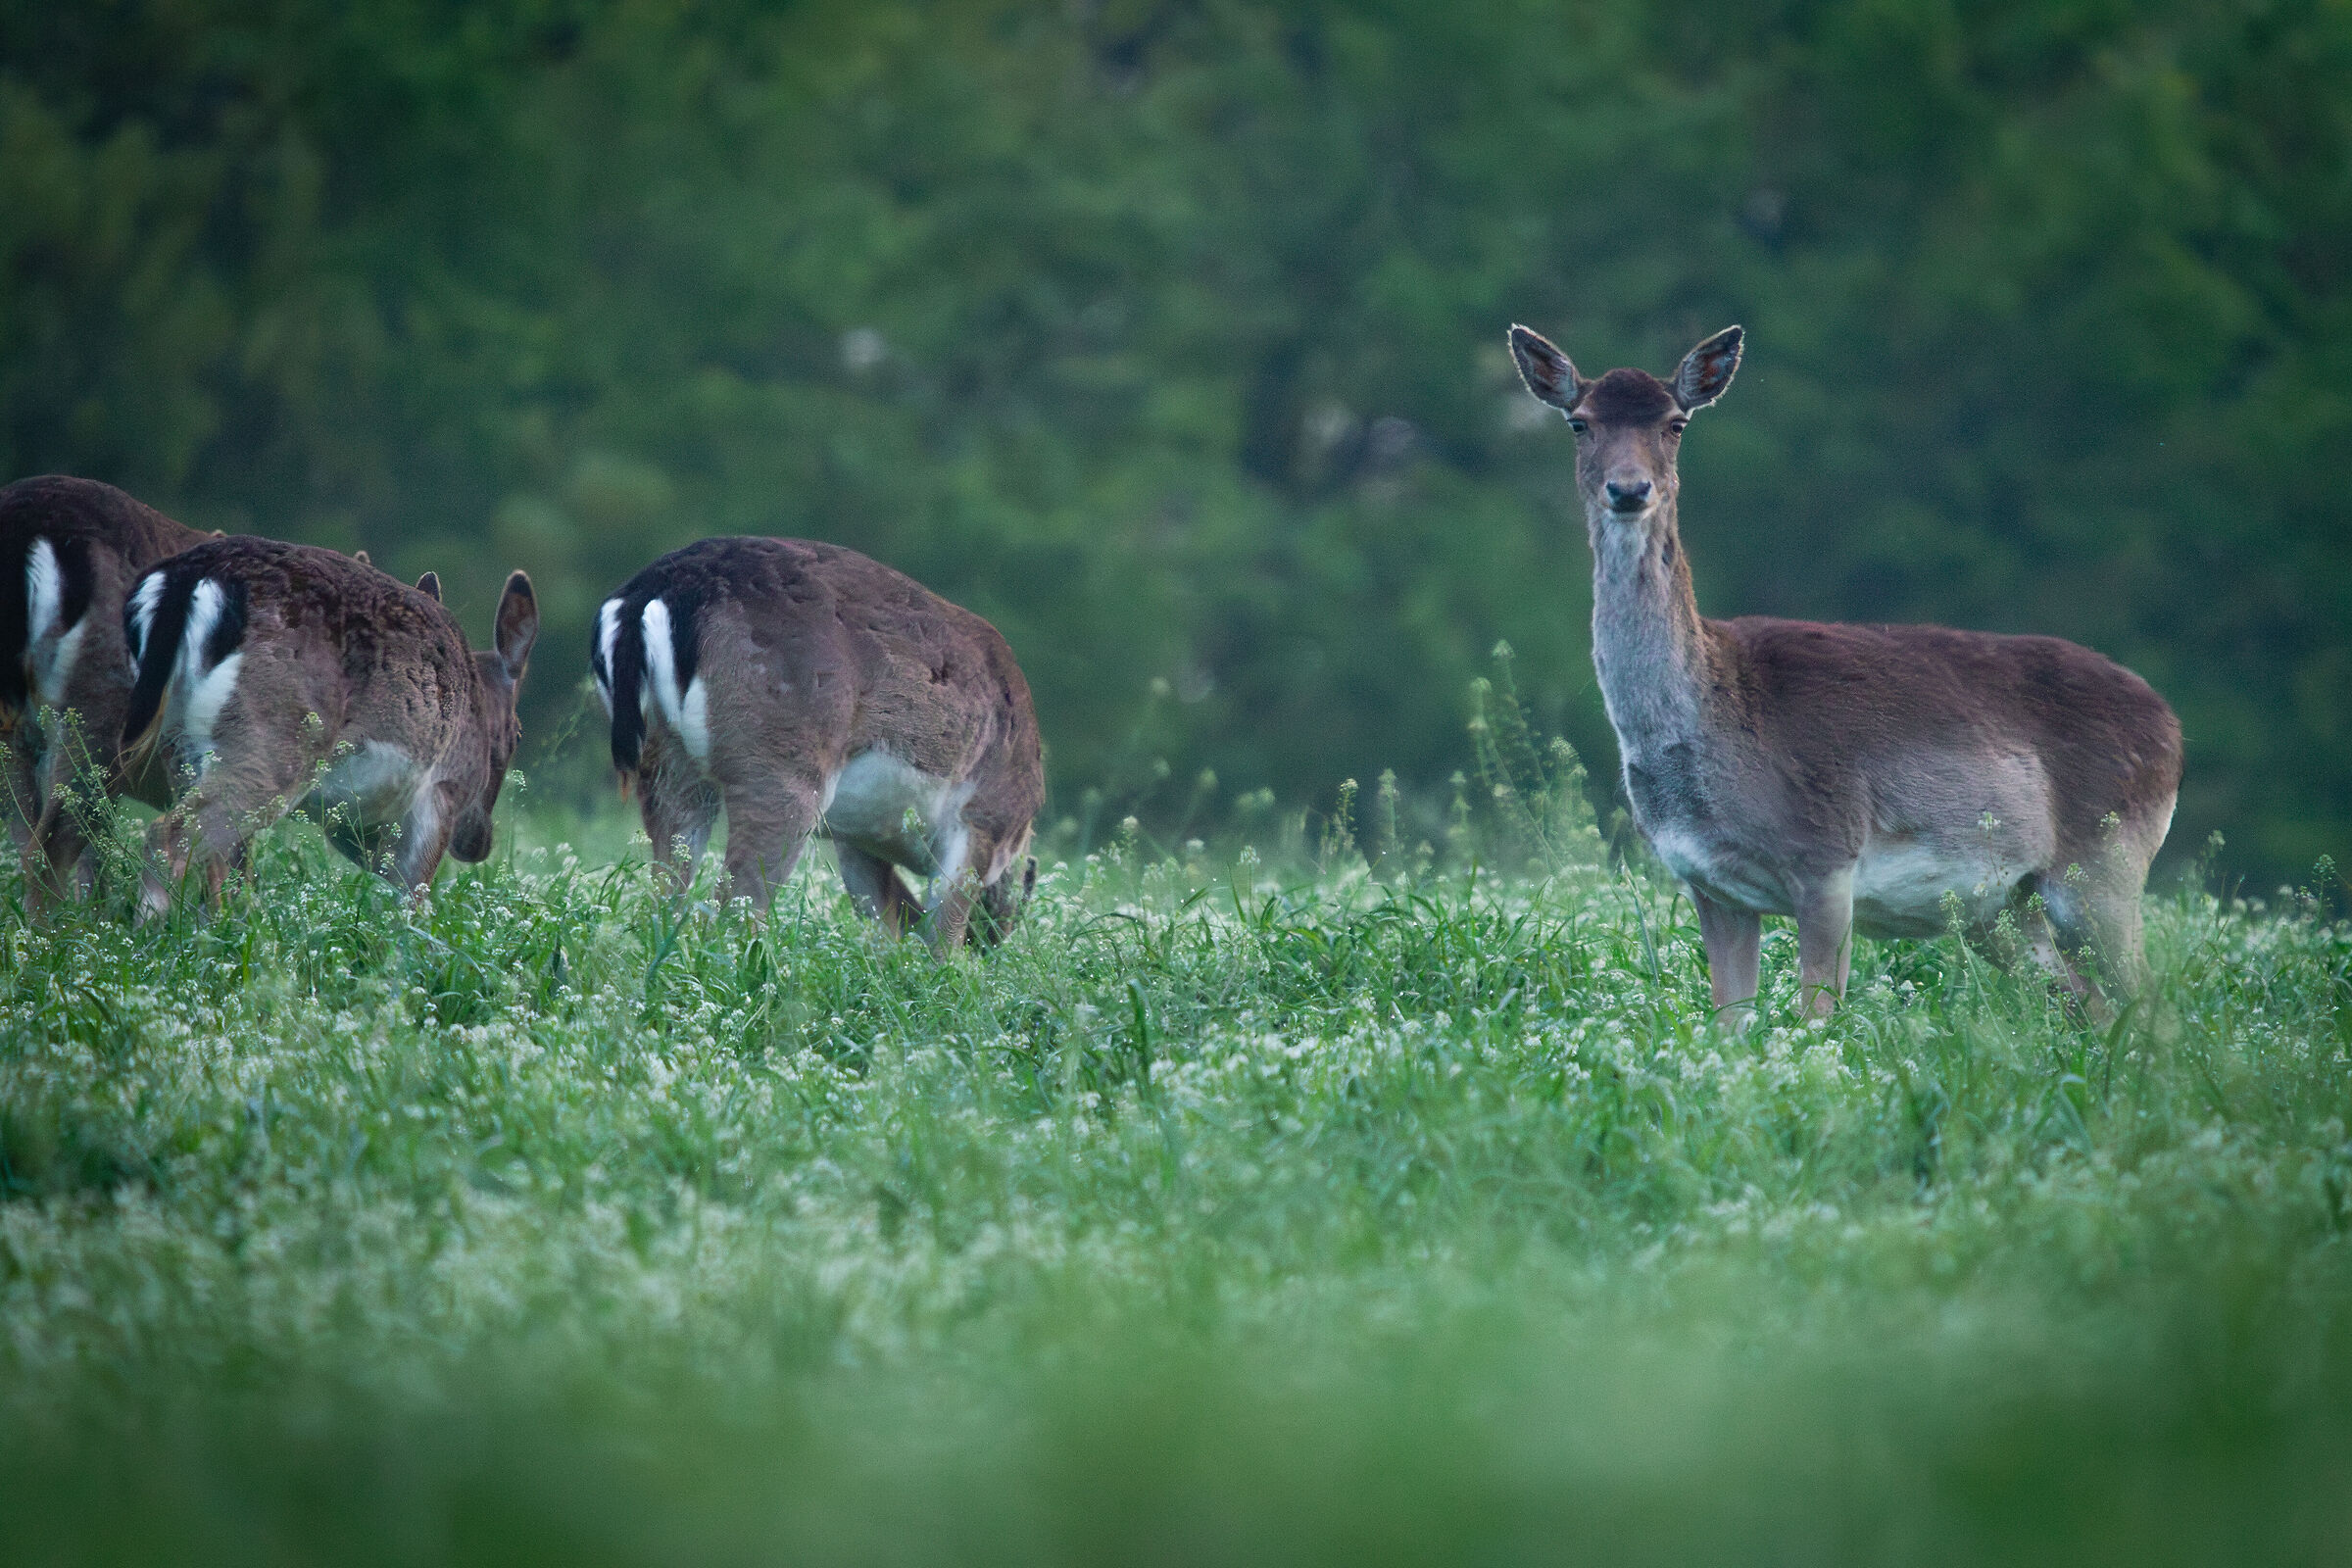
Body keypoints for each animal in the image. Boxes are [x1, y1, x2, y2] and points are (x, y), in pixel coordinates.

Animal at [119, 536, 536, 912]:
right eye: (517, 735)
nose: (477, 844)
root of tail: (186, 576)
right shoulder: (440, 793)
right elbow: (413, 894)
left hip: (180, 746)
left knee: (215, 856)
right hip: (274, 738)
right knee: (170, 835)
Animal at [590, 537, 1043, 948]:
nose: (988, 944)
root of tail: (654, 591)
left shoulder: (857, 839)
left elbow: (884, 923)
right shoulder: (981, 819)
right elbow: (940, 938)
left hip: (668, 762)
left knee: (664, 892)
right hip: (780, 765)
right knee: (734, 906)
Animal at [1507, 323, 2181, 1020]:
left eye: (1675, 422)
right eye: (1580, 422)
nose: (1629, 489)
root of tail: (2171, 725)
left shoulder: (1827, 859)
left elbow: (1817, 1020)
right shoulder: (1709, 886)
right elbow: (1728, 1023)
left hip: (2105, 866)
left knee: (2153, 1006)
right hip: (2002, 909)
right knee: (2089, 1004)